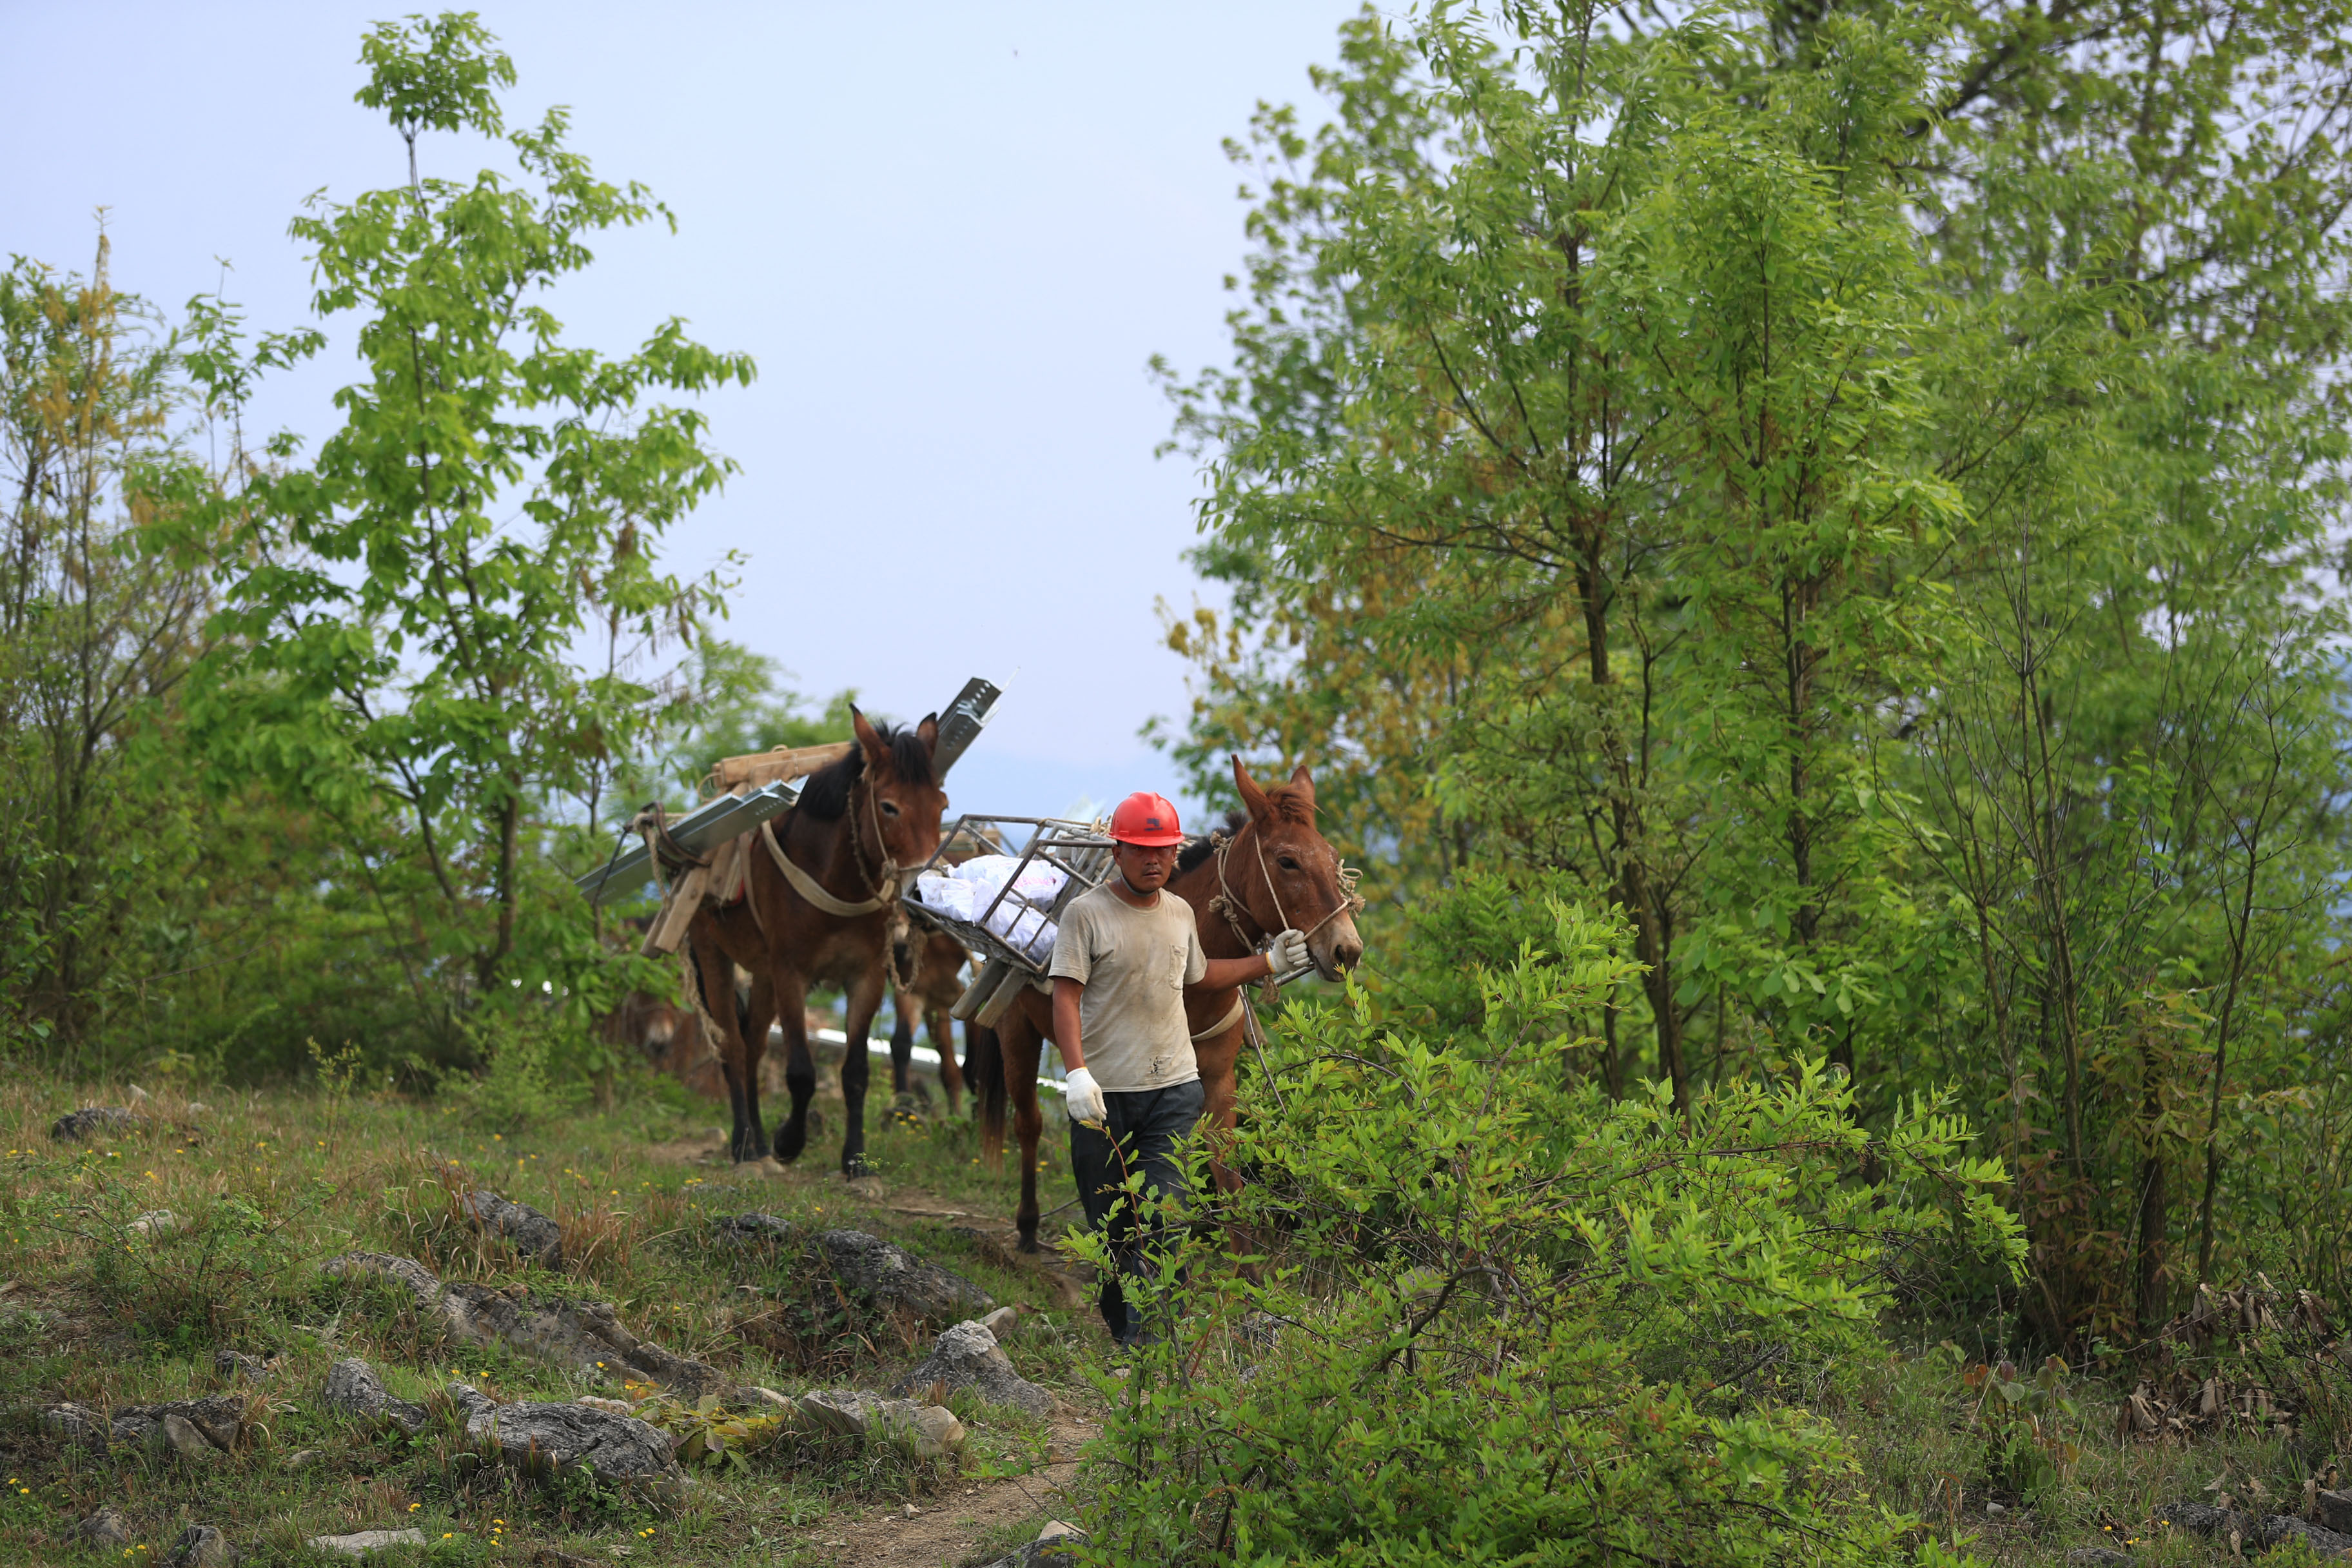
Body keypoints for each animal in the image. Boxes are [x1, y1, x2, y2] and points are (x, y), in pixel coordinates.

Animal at [681, 710, 945, 1175]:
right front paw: (789, 1141)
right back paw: (745, 1142)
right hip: (714, 953)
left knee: (753, 1045)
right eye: (889, 806)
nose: (922, 895)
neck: (833, 876)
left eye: (941, 805)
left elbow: (856, 1071)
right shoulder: (792, 974)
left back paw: (758, 1141)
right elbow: (801, 1072)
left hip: (764, 973)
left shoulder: (866, 976)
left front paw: (854, 1158)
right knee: (733, 1045)